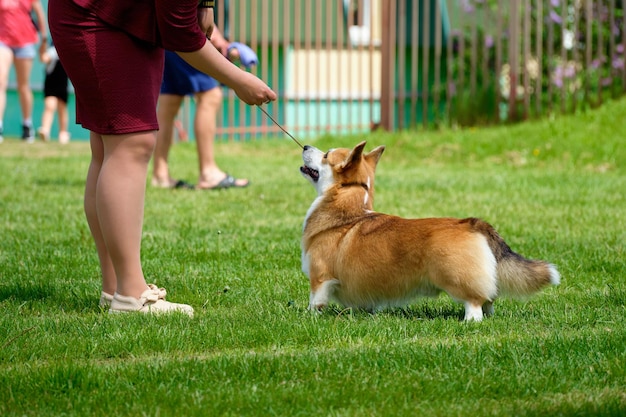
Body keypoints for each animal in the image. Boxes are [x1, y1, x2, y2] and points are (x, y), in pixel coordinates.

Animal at [298, 141, 560, 320]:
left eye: (326, 155)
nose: (306, 145)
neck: (348, 209)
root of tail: (473, 222)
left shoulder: (320, 276)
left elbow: (315, 300)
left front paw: (310, 316)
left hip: (456, 277)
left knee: (474, 303)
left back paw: (468, 321)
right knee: (489, 300)